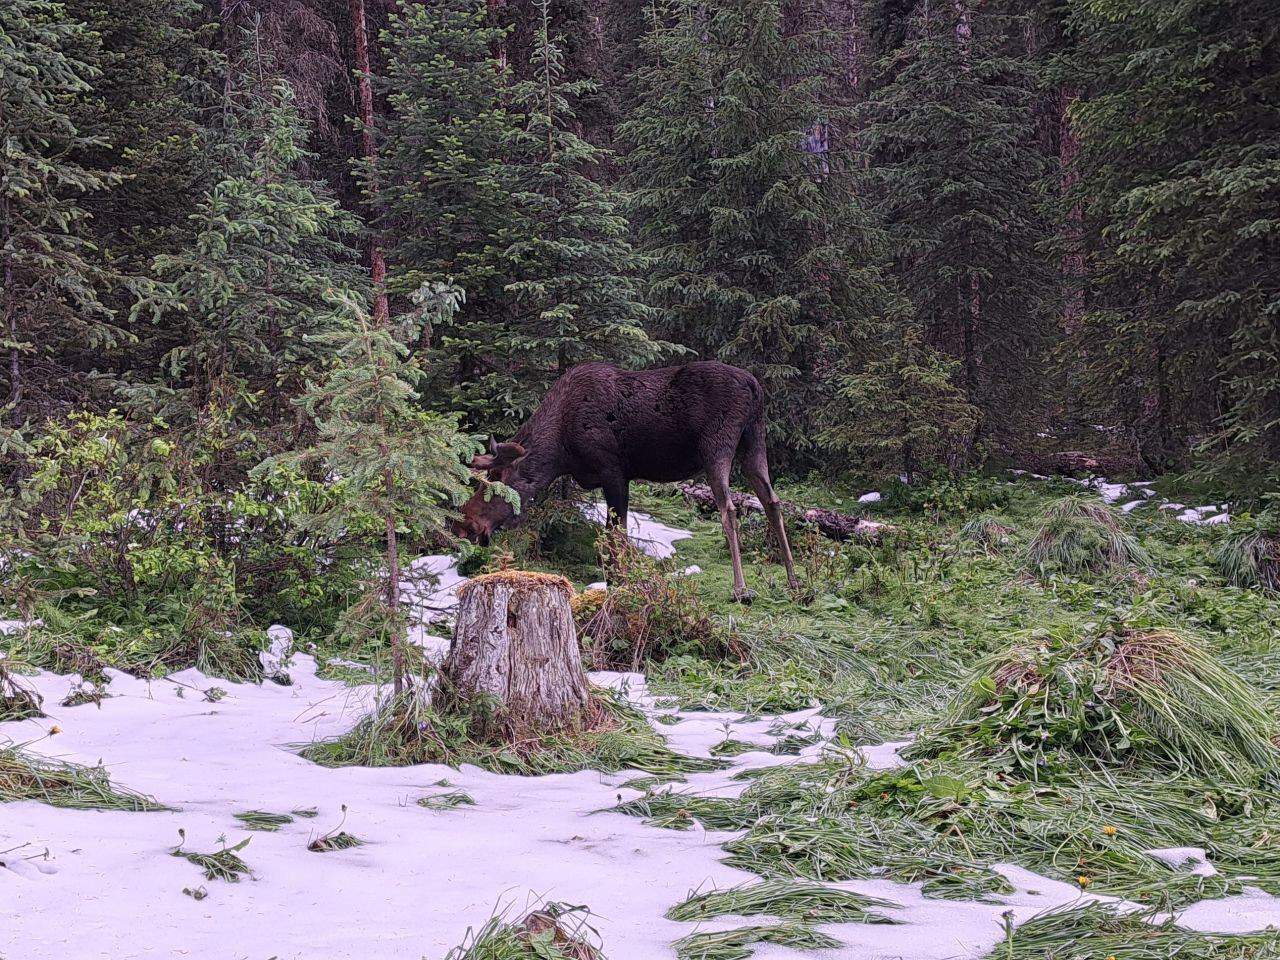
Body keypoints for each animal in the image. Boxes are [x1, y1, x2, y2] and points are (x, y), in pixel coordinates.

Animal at [450, 360, 793, 601]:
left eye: (495, 478)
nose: (463, 525)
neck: (562, 450)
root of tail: (754, 386)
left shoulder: (613, 472)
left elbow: (616, 533)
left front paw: (620, 580)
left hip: (716, 446)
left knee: (729, 508)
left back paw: (741, 589)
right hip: (754, 439)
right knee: (771, 501)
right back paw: (794, 582)